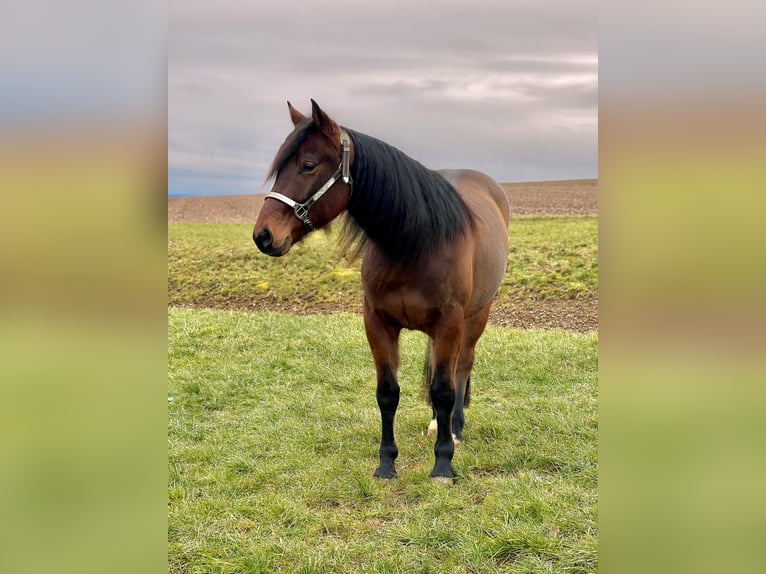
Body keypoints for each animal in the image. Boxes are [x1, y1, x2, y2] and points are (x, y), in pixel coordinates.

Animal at [255, 100, 512, 486]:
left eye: (307, 165)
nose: (264, 235)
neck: (413, 244)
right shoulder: (377, 323)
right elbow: (388, 394)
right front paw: (387, 463)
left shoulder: (450, 322)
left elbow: (444, 390)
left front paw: (442, 464)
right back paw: (437, 424)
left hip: (477, 314)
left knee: (462, 367)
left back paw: (455, 430)